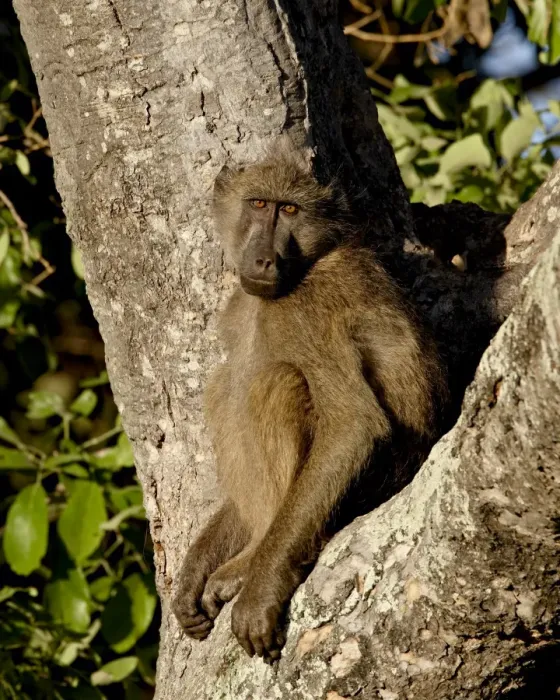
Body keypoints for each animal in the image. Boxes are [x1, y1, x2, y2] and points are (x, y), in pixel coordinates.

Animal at [172, 145, 448, 662]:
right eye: (259, 204)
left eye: (290, 211)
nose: (263, 259)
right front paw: (190, 576)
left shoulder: (309, 311)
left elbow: (353, 425)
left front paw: (259, 589)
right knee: (225, 387)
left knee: (272, 382)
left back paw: (250, 562)